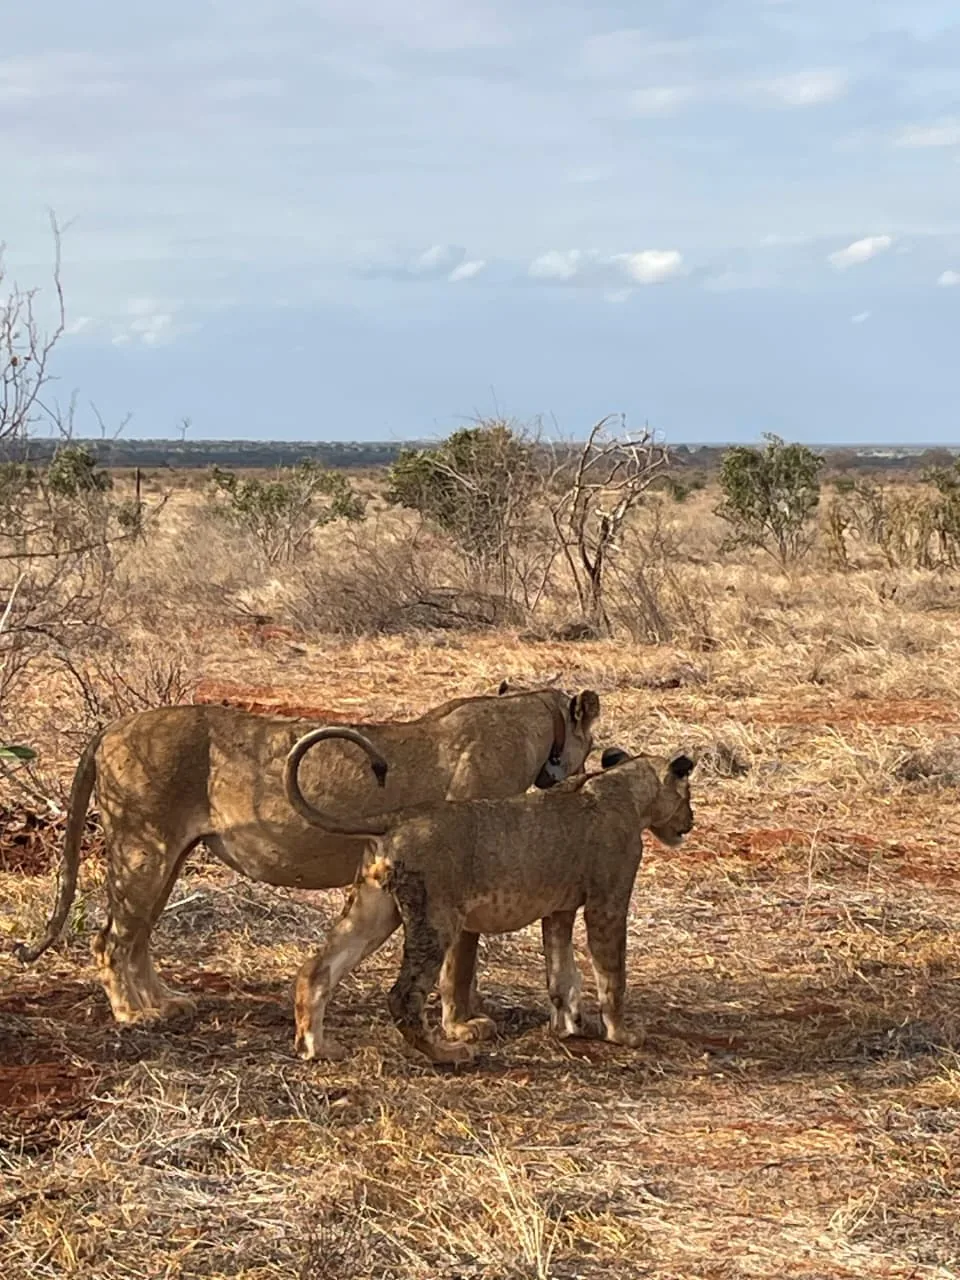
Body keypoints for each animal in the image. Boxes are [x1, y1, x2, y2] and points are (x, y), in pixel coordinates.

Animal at [14, 686, 601, 1026]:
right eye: (591, 743)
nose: (580, 768)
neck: (530, 712)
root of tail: (110, 728)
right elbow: (462, 963)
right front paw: (466, 1022)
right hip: (144, 849)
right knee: (111, 939)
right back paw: (133, 1016)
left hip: (167, 857)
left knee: (136, 938)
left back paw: (165, 1003)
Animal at [287, 736, 696, 1064]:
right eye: (689, 797)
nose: (690, 822)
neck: (621, 785)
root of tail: (400, 817)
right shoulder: (607, 903)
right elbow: (612, 975)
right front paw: (622, 1034)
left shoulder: (559, 909)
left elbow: (561, 973)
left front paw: (569, 1027)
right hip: (436, 919)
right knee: (403, 997)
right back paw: (449, 1054)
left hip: (373, 911)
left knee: (316, 969)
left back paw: (317, 1048)